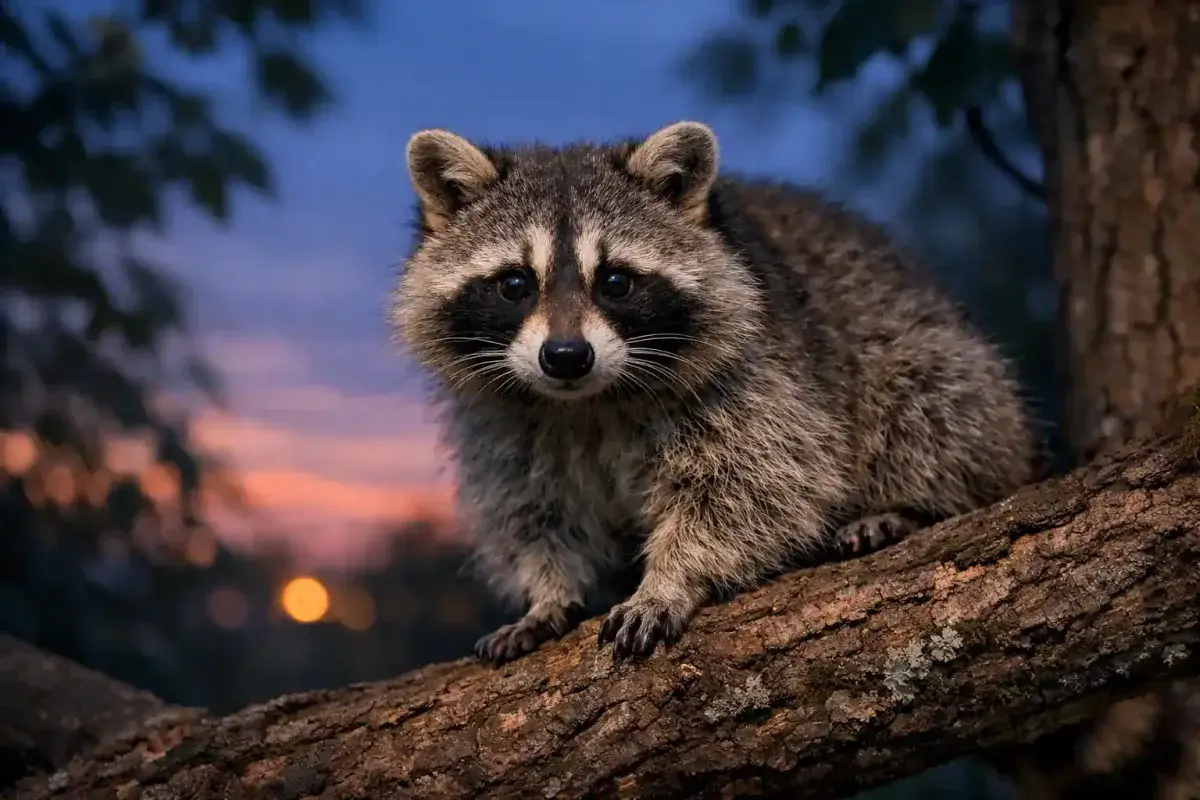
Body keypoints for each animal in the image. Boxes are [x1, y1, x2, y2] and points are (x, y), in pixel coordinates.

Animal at [391, 121, 1036, 664]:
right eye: (515, 284)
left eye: (616, 281)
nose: (567, 357)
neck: (588, 402)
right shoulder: (504, 426)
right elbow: (531, 512)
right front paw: (547, 592)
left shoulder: (761, 382)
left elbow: (756, 485)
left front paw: (672, 578)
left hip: (938, 360)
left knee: (930, 400)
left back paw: (907, 505)